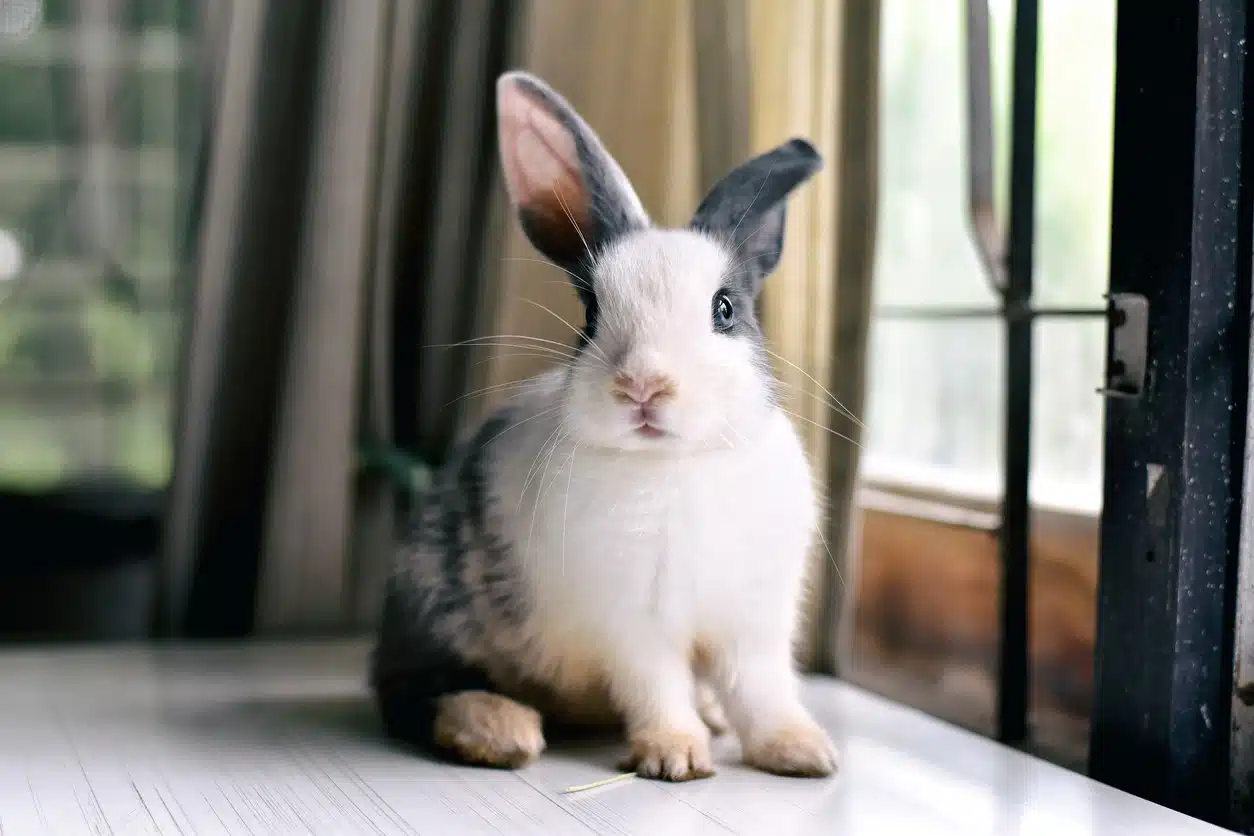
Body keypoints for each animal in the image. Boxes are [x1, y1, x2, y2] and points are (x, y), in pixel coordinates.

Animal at [371, 69, 836, 782]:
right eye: (590, 313)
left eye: (725, 309)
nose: (643, 385)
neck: (676, 463)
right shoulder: (634, 626)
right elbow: (658, 688)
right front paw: (676, 756)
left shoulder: (753, 624)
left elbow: (762, 691)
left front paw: (804, 752)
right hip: (434, 605)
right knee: (415, 693)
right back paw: (501, 729)